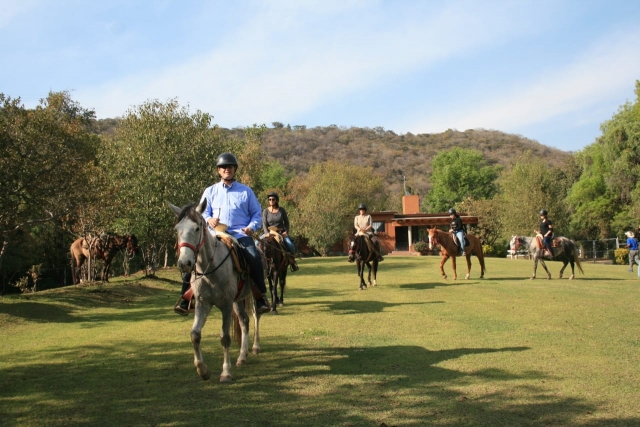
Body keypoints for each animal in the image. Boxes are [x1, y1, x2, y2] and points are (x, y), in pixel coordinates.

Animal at [169, 201, 264, 382]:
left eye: (197, 228)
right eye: (177, 229)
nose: (185, 263)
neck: (211, 269)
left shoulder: (226, 304)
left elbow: (225, 338)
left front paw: (226, 372)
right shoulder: (202, 303)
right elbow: (195, 334)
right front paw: (203, 370)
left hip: (253, 296)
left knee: (256, 316)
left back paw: (255, 347)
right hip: (238, 300)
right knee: (244, 321)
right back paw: (242, 356)